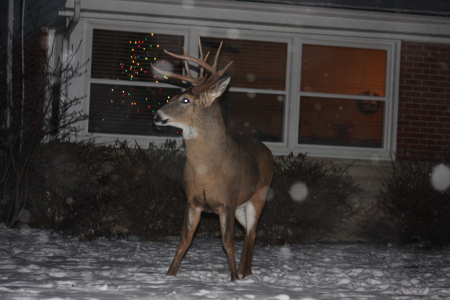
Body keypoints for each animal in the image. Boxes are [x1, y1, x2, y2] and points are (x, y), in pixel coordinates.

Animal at [151, 39, 274, 282]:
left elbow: (227, 242)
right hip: (241, 205)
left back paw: (243, 274)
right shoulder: (192, 200)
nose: (157, 115)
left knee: (251, 231)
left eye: (186, 99)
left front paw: (233, 279)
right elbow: (184, 240)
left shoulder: (227, 200)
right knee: (249, 231)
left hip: (259, 194)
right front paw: (169, 276)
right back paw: (245, 271)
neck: (206, 170)